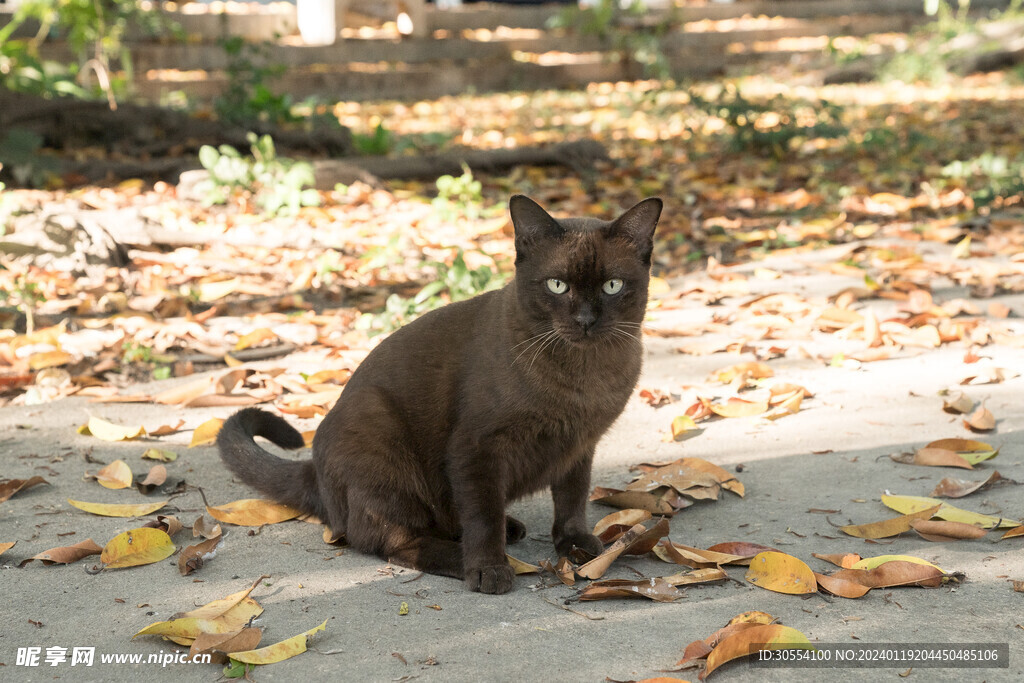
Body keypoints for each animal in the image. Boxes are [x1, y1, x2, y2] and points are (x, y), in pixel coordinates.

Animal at [218, 193, 663, 593]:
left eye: (612, 285)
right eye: (557, 285)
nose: (586, 320)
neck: (583, 378)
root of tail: (314, 469)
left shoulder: (579, 445)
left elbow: (571, 500)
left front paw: (578, 548)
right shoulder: (477, 447)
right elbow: (483, 517)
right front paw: (488, 571)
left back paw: (510, 530)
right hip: (381, 438)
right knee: (390, 540)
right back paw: (477, 557)